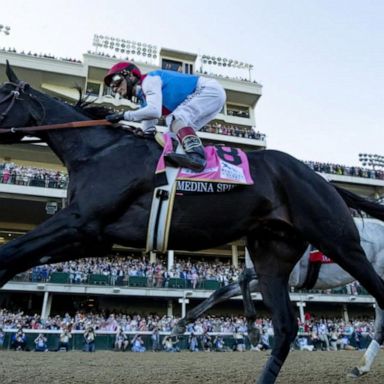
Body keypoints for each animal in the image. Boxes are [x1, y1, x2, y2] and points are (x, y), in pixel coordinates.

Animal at [0, 61, 384, 382]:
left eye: (2, 94)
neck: (98, 151)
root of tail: (321, 177)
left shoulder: (80, 222)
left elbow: (11, 251)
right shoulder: (91, 236)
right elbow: (20, 256)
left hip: (340, 242)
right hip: (273, 255)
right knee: (287, 325)